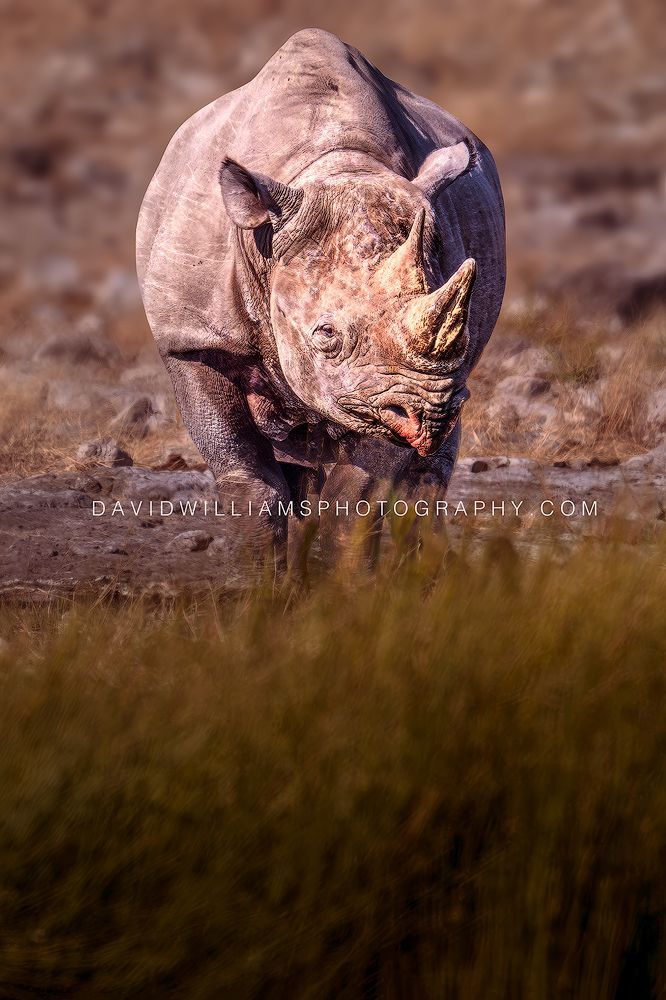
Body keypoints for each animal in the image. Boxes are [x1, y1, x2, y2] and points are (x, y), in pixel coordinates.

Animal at [137, 28, 505, 558]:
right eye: (325, 335)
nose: (430, 413)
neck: (338, 166)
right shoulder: (193, 338)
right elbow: (249, 485)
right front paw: (265, 581)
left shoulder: (390, 387)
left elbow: (356, 497)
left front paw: (341, 581)